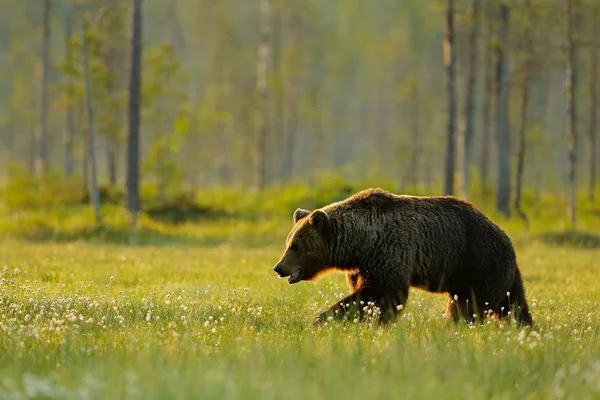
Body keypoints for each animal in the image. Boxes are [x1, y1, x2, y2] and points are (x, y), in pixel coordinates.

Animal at [274, 188, 532, 324]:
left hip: (478, 260)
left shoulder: (389, 248)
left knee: (473, 303)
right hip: (495, 271)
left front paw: (324, 319)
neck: (360, 243)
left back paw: (456, 324)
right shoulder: (361, 266)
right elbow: (366, 292)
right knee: (514, 304)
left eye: (295, 246)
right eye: (288, 242)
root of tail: (506, 237)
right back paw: (524, 326)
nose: (279, 268)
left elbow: (382, 293)